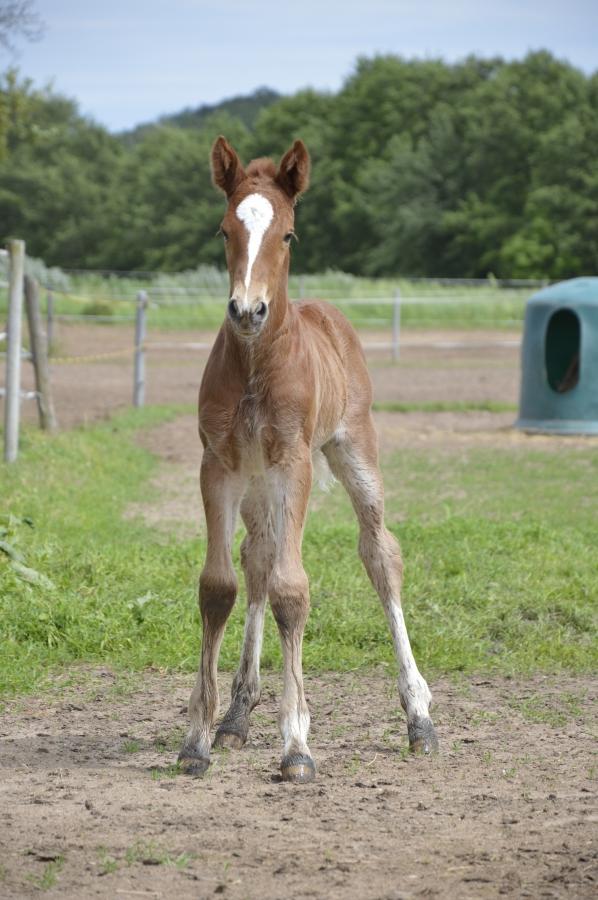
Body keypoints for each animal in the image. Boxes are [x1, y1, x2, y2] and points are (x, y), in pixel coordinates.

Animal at [178, 136, 438, 783]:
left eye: (288, 234)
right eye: (224, 230)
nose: (247, 311)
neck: (255, 365)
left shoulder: (293, 464)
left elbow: (293, 591)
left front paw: (296, 745)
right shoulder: (218, 466)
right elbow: (219, 586)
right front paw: (198, 737)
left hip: (351, 452)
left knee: (380, 553)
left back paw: (419, 716)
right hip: (256, 485)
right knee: (257, 559)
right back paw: (237, 715)